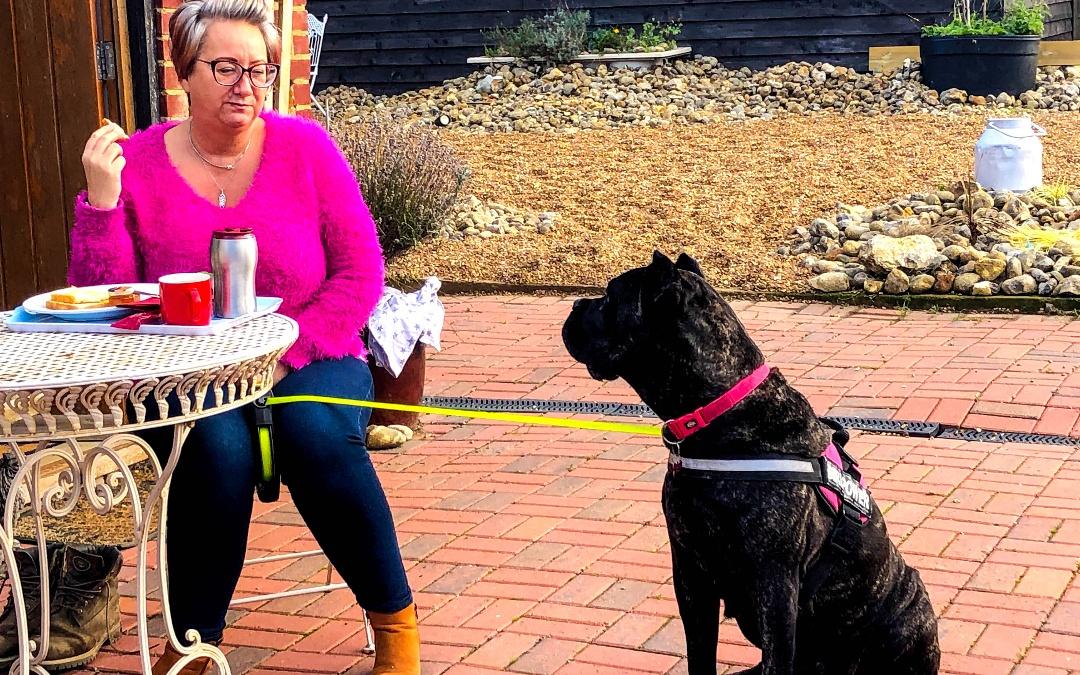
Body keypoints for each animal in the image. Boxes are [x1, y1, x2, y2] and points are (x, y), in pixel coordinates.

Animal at [561, 252, 941, 673]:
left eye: (609, 299)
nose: (575, 305)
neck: (722, 412)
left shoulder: (774, 583)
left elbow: (776, 658)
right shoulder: (690, 574)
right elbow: (700, 655)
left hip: (912, 609)